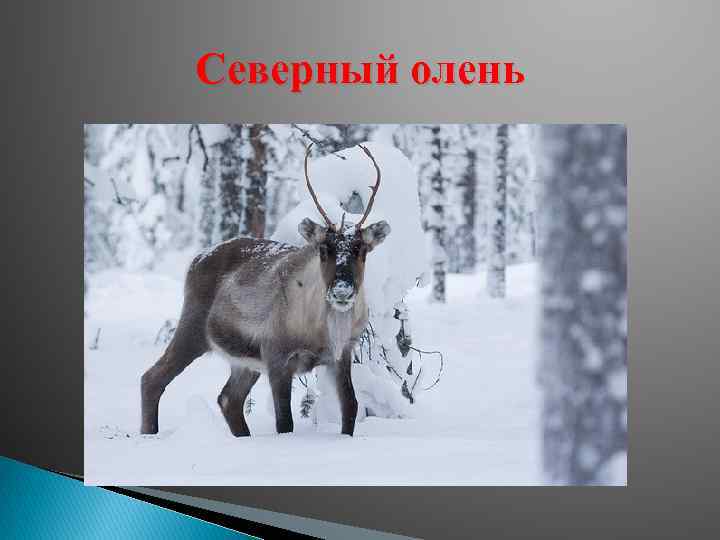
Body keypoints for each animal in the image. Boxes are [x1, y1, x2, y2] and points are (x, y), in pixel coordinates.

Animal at [140, 144, 390, 437]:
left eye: (361, 250)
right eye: (323, 249)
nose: (341, 290)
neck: (320, 331)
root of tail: (197, 259)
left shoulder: (342, 353)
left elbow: (350, 407)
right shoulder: (276, 356)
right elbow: (285, 421)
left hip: (244, 361)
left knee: (228, 398)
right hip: (193, 329)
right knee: (153, 378)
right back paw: (149, 433)